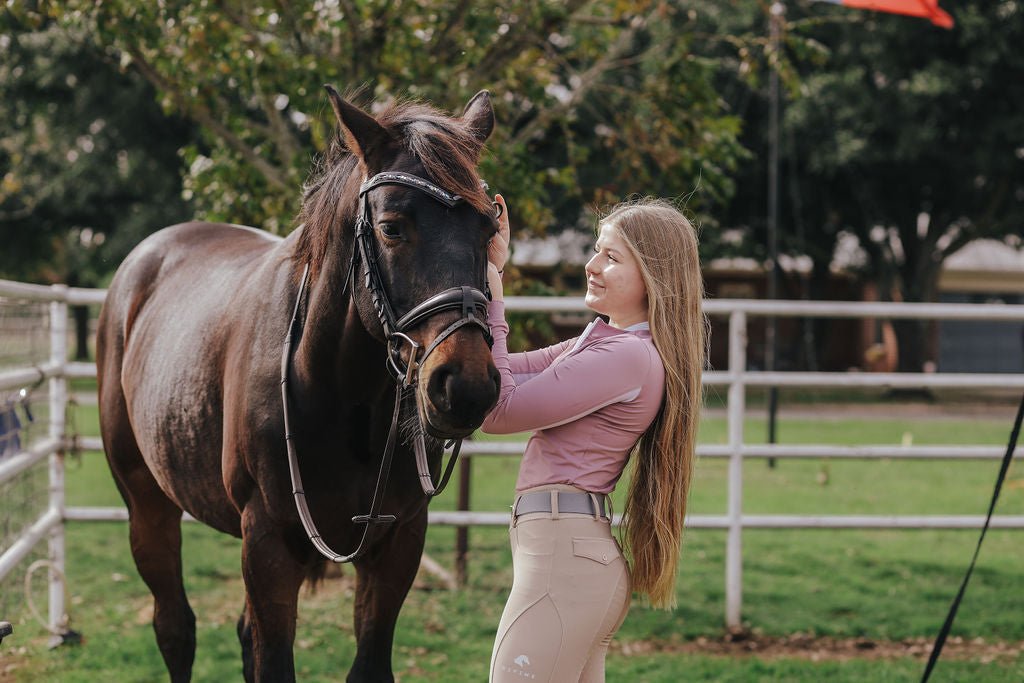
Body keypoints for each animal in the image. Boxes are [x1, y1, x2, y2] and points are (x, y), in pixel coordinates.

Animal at [94, 87, 501, 683]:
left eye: (489, 229)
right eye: (392, 227)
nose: (466, 386)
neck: (344, 396)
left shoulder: (398, 541)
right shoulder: (267, 545)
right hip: (147, 505)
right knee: (174, 627)